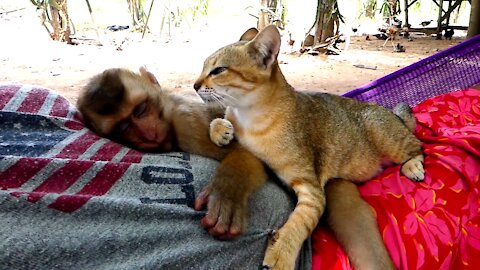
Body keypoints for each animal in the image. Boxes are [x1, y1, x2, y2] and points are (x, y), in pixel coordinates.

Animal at [194, 24, 424, 268]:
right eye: (204, 66)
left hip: (386, 136)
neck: (250, 117)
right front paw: (221, 130)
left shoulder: (312, 191)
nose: (195, 85)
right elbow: (219, 117)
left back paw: (413, 166)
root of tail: (393, 115)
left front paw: (281, 255)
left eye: (218, 70)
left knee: (418, 145)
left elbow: (298, 223)